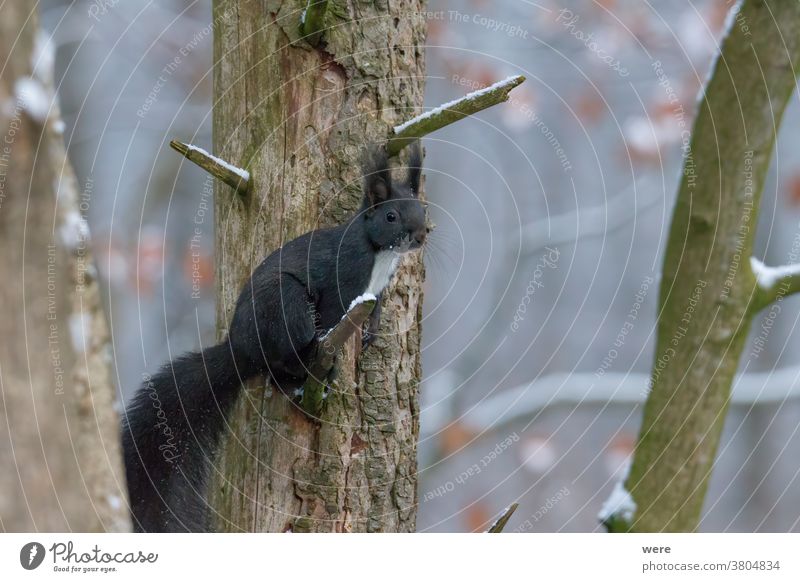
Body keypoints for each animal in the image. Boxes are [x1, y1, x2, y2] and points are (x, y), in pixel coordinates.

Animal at [120, 145, 424, 532]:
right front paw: (333, 346)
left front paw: (371, 333)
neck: (379, 256)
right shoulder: (343, 279)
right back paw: (313, 363)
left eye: (423, 208)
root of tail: (239, 350)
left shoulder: (376, 292)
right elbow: (332, 314)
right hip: (284, 304)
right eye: (390, 216)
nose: (421, 234)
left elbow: (375, 310)